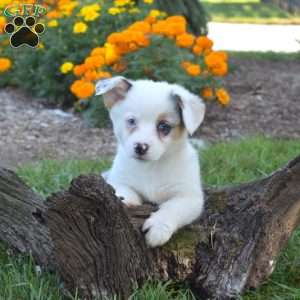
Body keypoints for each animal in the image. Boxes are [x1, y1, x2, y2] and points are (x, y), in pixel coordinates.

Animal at [95, 76, 205, 247]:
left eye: (164, 126)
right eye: (131, 121)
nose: (140, 147)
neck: (150, 168)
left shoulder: (189, 197)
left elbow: (172, 208)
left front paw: (158, 227)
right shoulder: (117, 179)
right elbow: (122, 190)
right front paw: (128, 200)